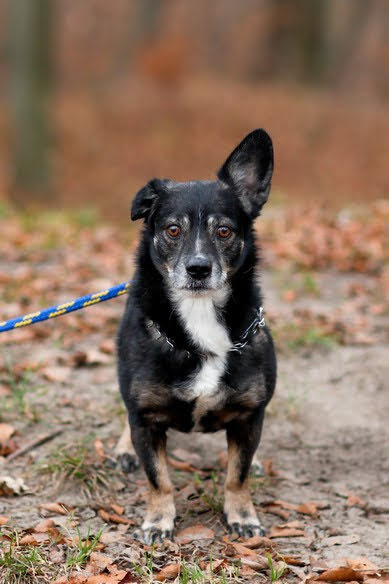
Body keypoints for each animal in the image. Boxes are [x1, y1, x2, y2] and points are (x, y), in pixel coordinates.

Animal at [115, 128, 276, 544]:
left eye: (224, 231)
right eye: (173, 230)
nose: (199, 268)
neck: (199, 316)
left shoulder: (250, 416)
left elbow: (237, 474)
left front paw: (242, 515)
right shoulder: (145, 418)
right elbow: (158, 478)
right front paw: (159, 520)